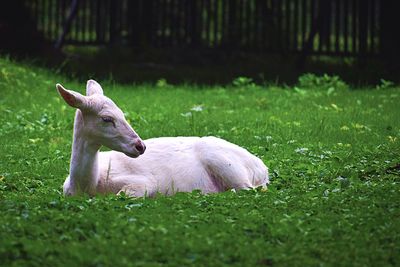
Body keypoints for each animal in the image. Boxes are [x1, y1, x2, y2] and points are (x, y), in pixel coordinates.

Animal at [57, 79, 268, 197]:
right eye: (107, 118)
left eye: (123, 114)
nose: (140, 146)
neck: (89, 185)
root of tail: (263, 169)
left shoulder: (145, 182)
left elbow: (122, 195)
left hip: (228, 165)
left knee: (248, 189)